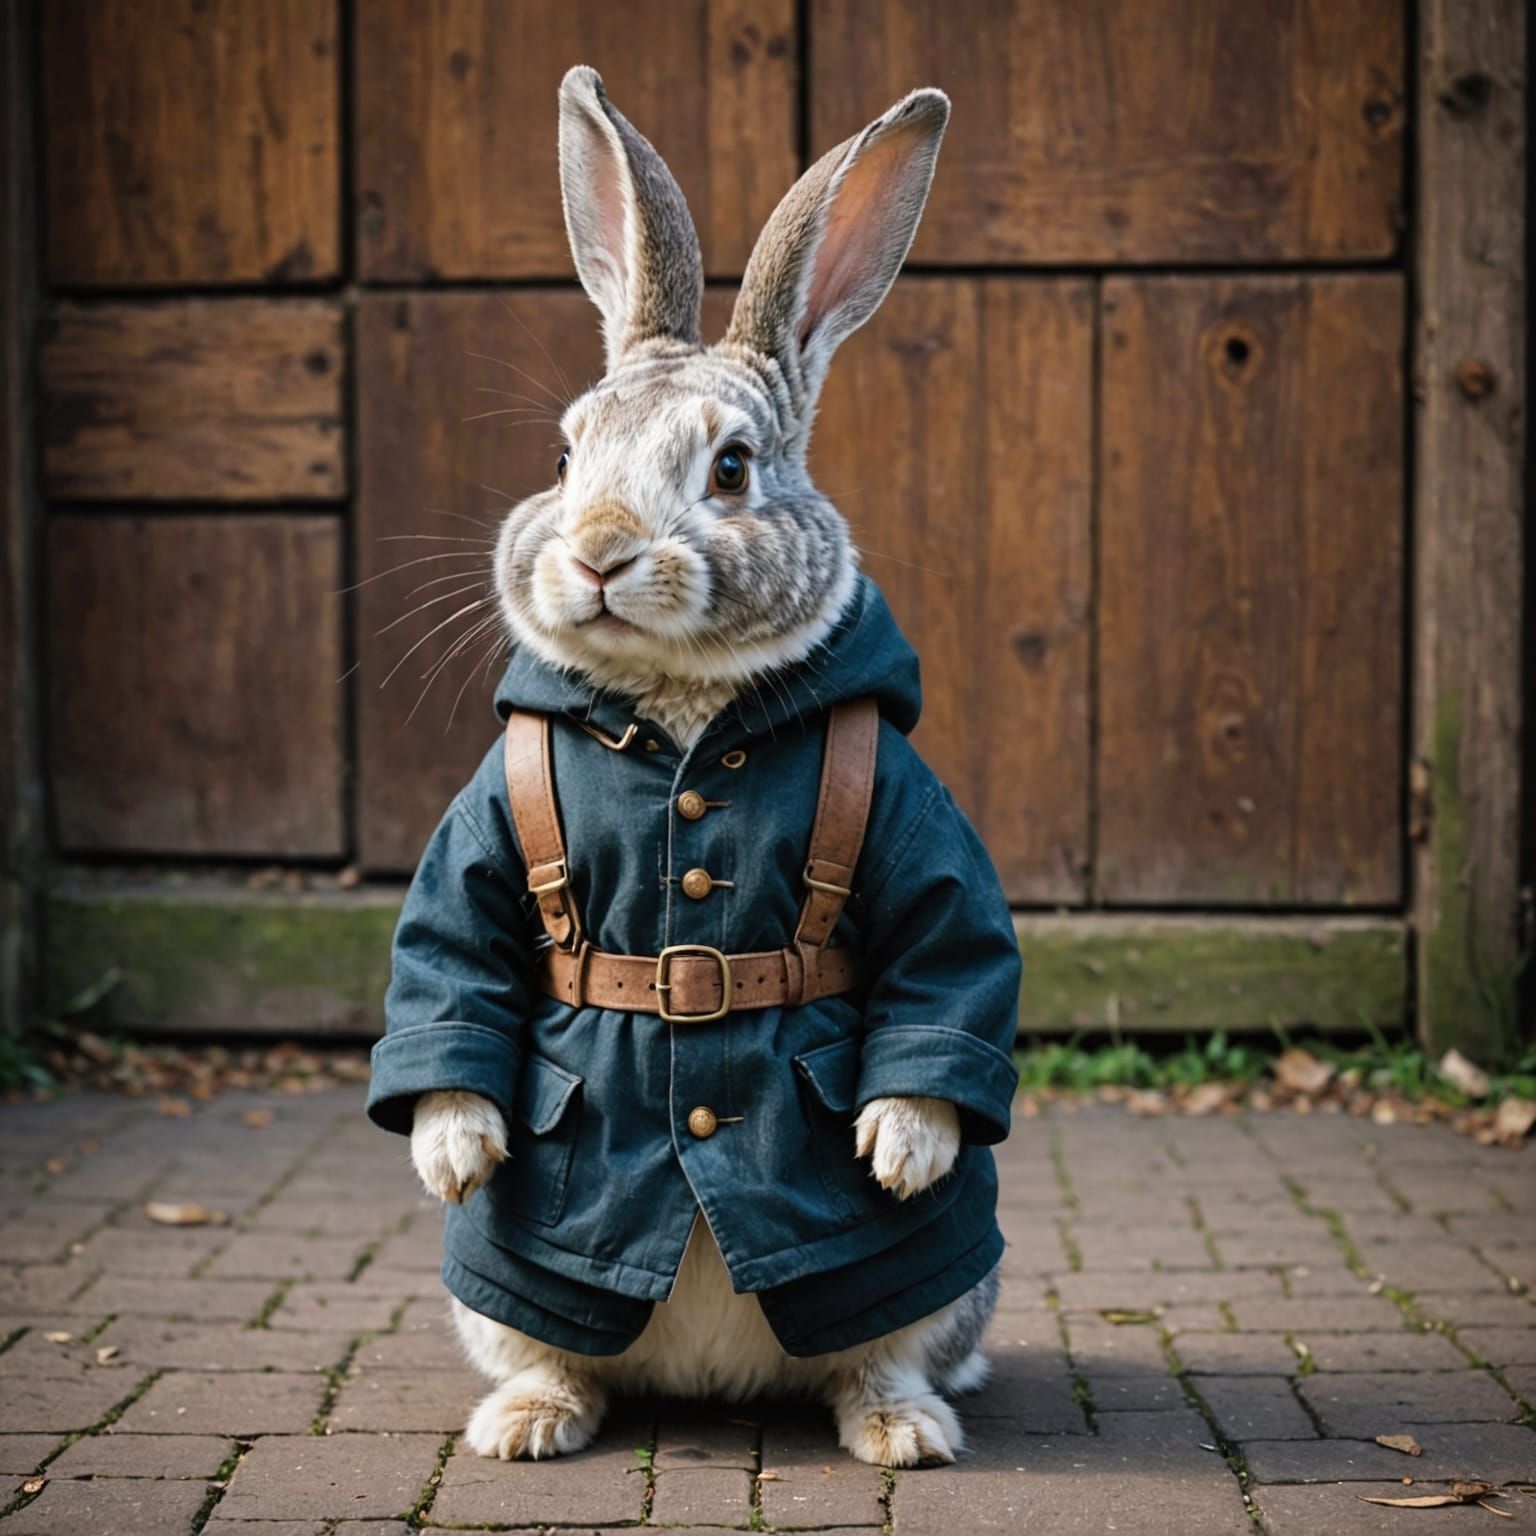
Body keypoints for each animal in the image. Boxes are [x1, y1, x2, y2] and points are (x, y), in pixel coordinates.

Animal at [390, 65, 1020, 1469]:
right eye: (564, 457)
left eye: (730, 468)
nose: (599, 552)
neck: (683, 724)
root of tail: (718, 1387)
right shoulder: (480, 839)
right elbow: (450, 957)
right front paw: (454, 1152)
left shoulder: (915, 822)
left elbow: (948, 954)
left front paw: (900, 1148)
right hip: (501, 1293)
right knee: (553, 1345)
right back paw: (526, 1422)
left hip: (932, 1282)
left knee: (885, 1345)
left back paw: (904, 1427)